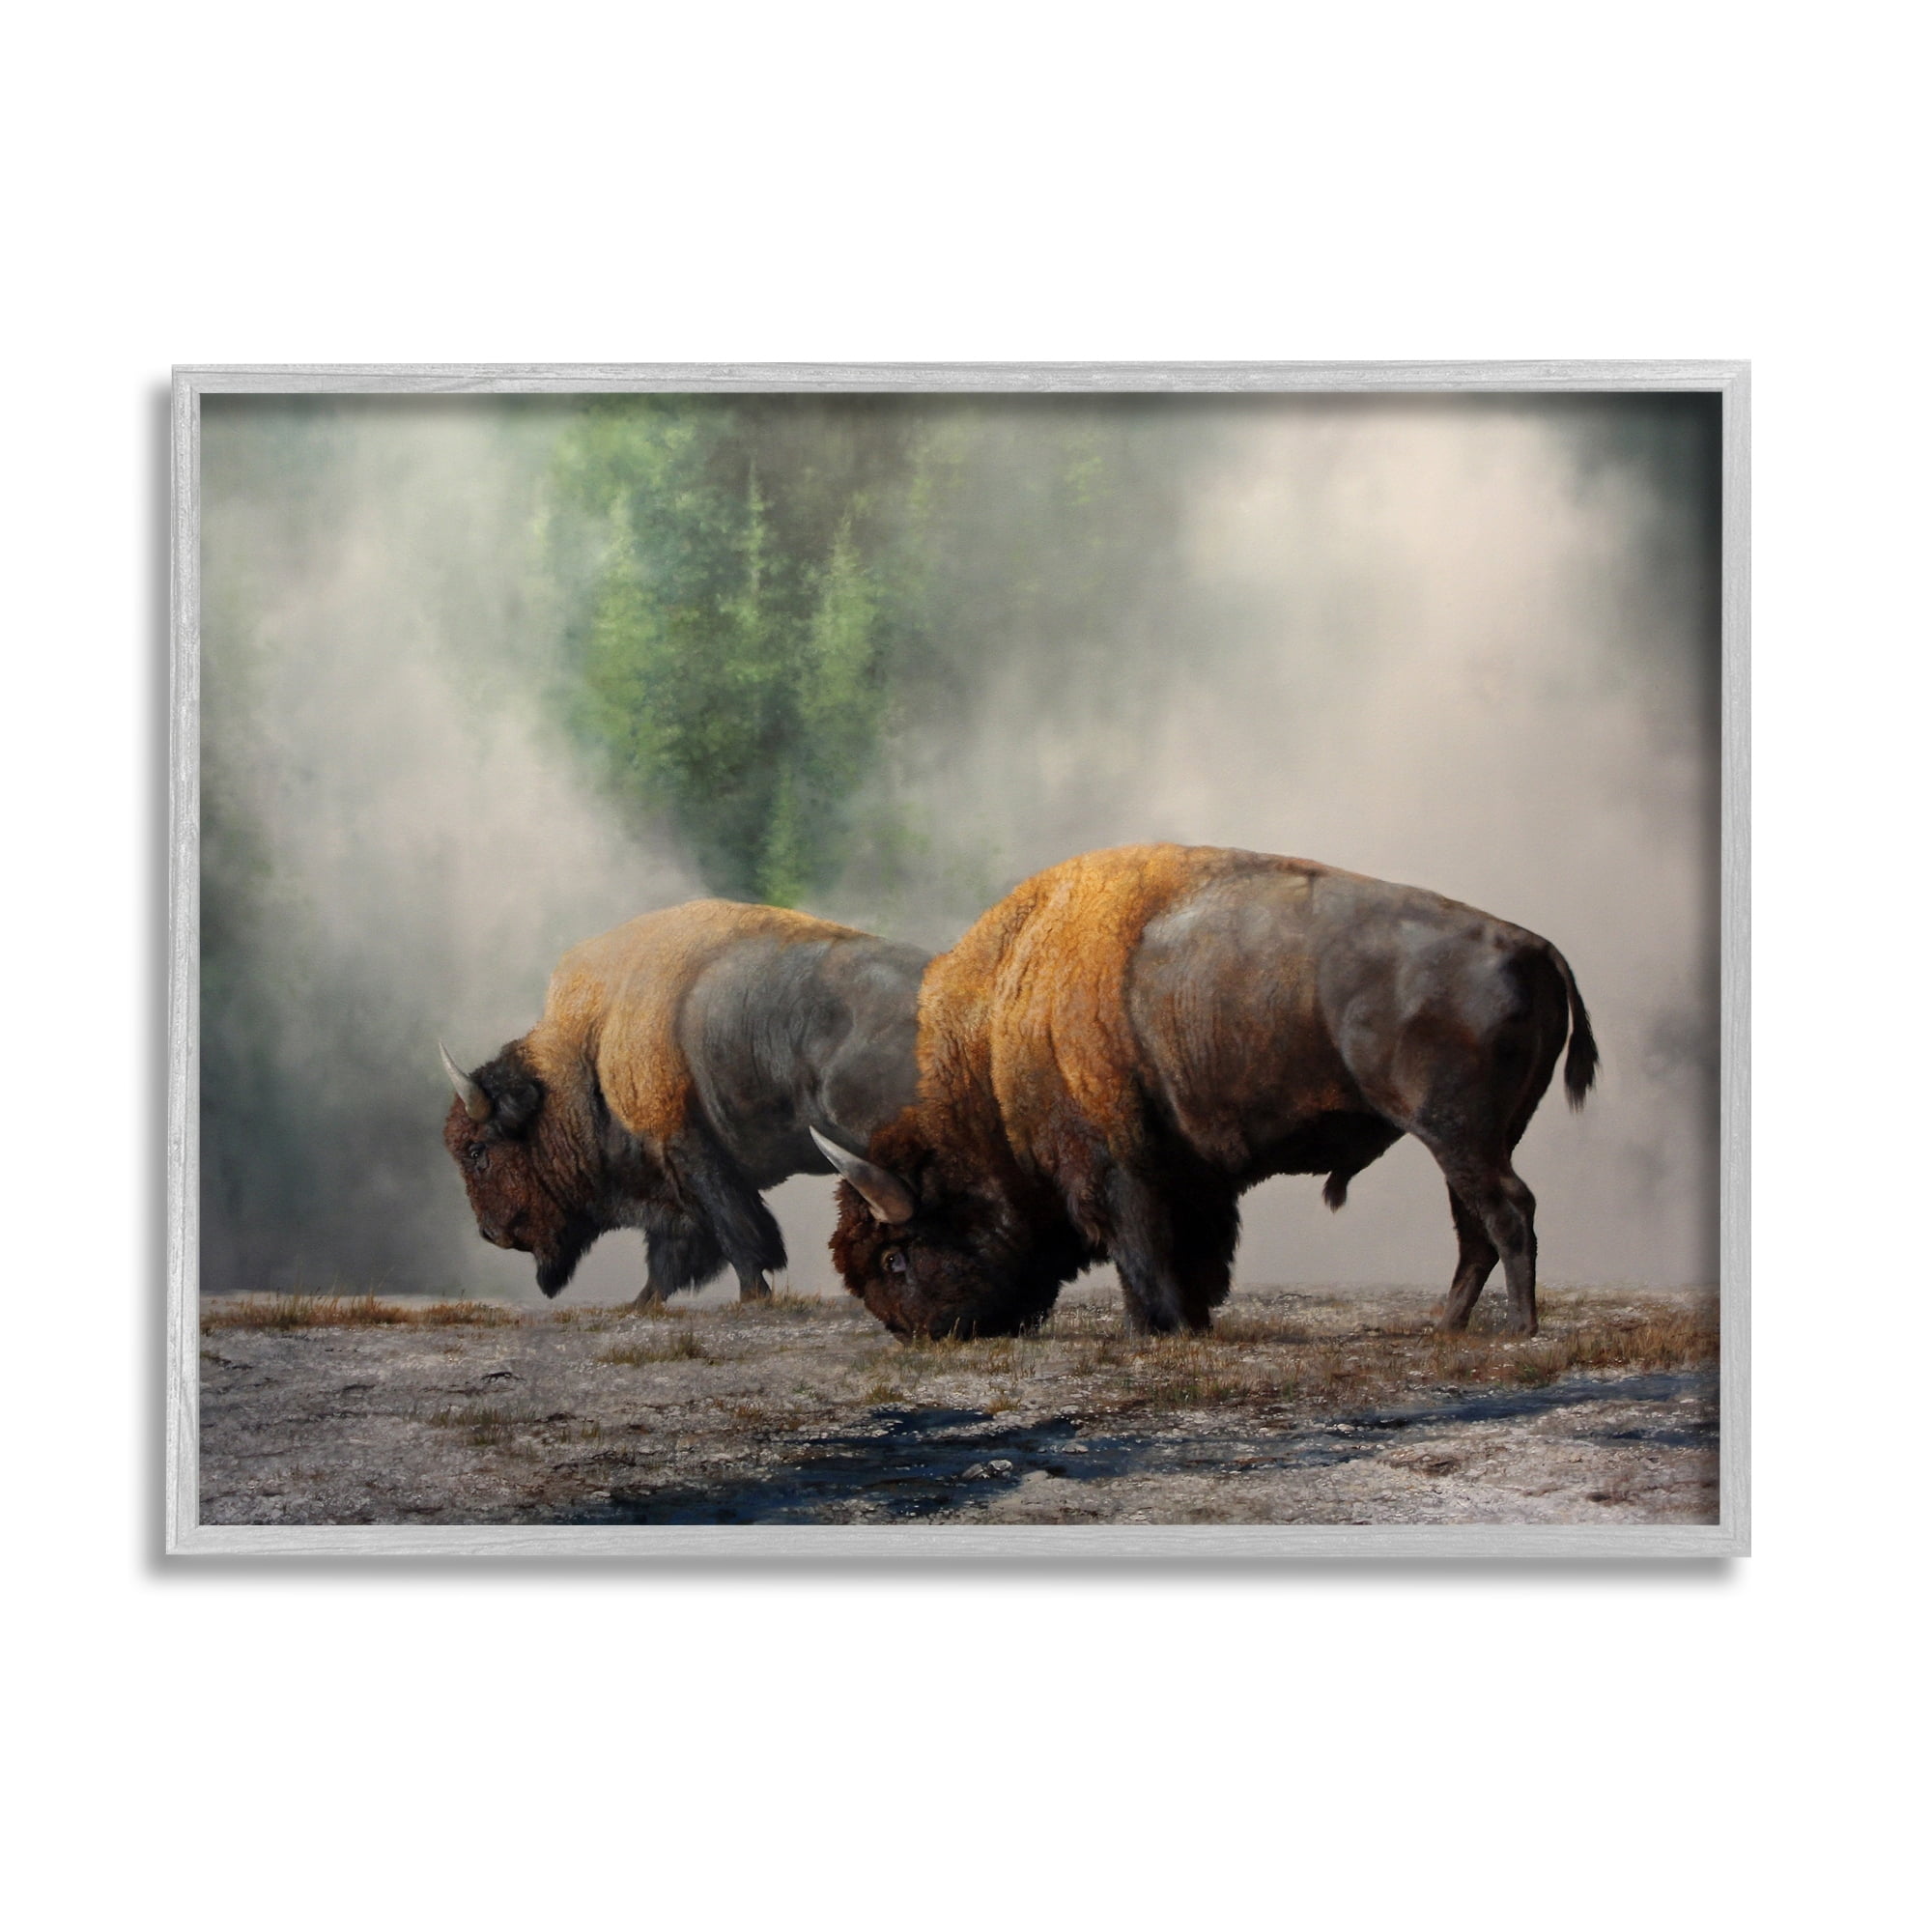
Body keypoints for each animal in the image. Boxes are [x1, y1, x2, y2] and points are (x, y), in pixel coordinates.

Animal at [442, 900, 928, 1304]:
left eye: (477, 1151)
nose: (490, 1233)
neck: (590, 1051)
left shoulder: (695, 1159)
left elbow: (738, 1236)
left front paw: (753, 1296)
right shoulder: (676, 1190)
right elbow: (673, 1254)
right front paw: (641, 1302)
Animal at [818, 844, 1596, 1340]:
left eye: (894, 1257)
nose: (909, 1331)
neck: (1000, 1034)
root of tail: (1531, 945)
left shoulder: (1114, 1168)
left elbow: (1142, 1252)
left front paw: (1153, 1330)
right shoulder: (1186, 1175)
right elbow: (1192, 1251)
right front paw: (1191, 1321)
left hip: (1456, 1130)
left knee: (1506, 1211)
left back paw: (1519, 1329)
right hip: (1476, 1135)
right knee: (1475, 1223)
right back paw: (1446, 1326)